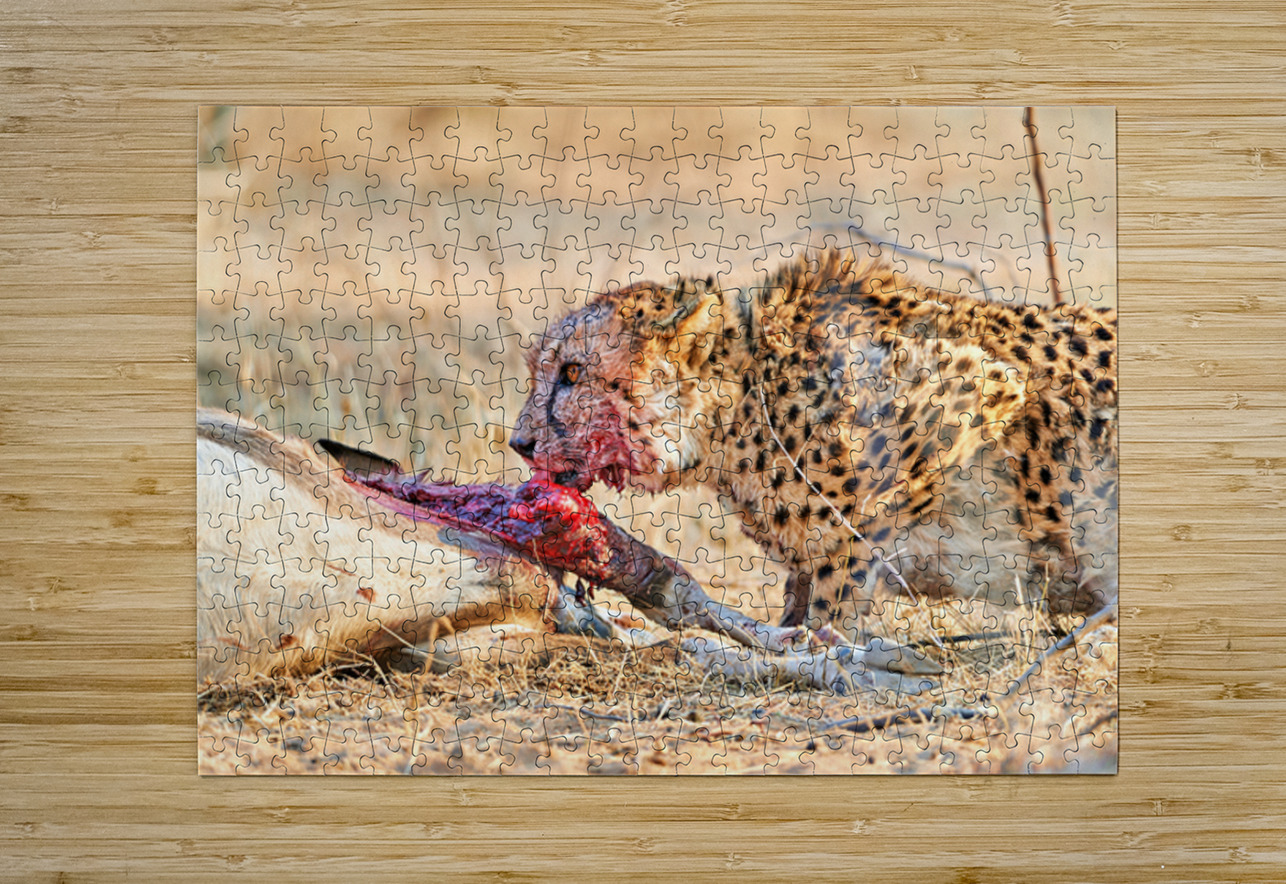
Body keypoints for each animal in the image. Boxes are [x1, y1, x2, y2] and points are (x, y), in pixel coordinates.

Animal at [510, 248, 1117, 640]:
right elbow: (803, 587)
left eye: (571, 372)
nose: (519, 442)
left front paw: (828, 650)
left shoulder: (980, 387)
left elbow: (844, 568)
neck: (748, 403)